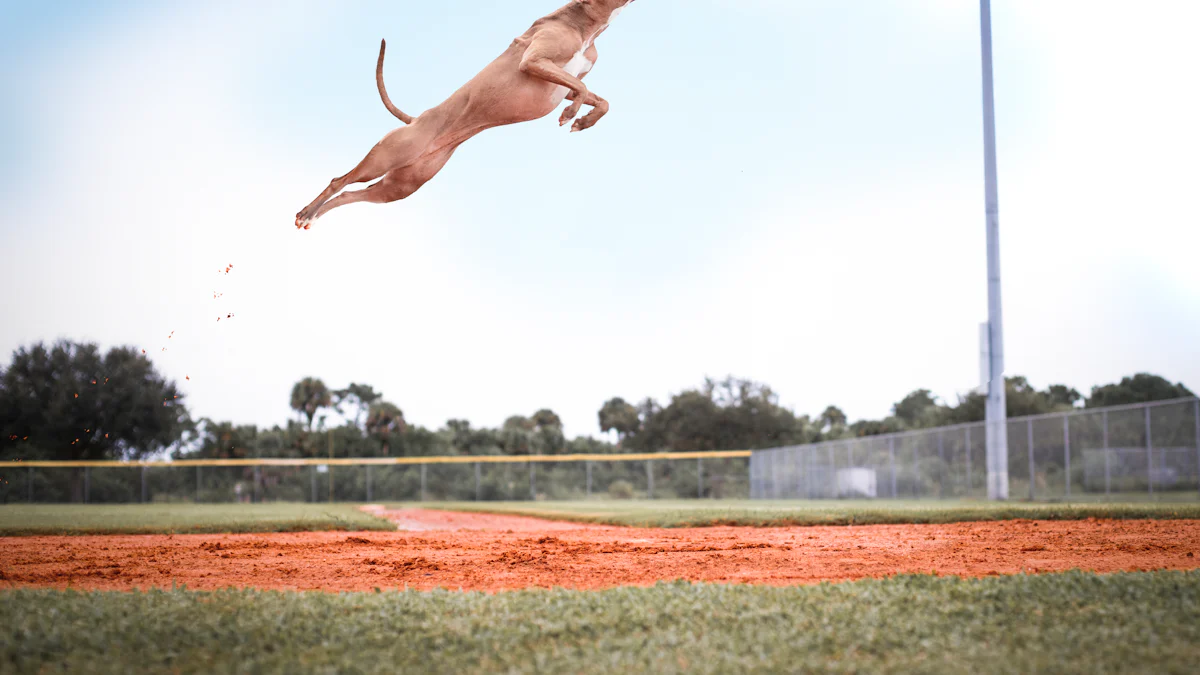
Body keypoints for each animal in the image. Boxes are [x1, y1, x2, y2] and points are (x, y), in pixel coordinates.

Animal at [296, 0, 638, 228]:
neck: (588, 22)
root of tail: (416, 120)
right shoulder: (533, 63)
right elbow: (580, 87)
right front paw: (571, 113)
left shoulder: (561, 79)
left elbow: (598, 98)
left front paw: (582, 120)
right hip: (385, 157)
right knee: (339, 180)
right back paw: (306, 211)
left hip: (398, 187)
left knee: (350, 195)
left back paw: (314, 216)